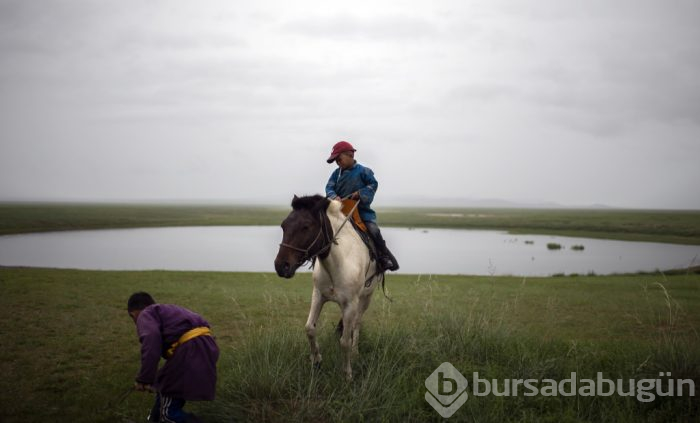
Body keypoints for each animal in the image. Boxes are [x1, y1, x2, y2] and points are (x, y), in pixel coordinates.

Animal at [274, 195, 382, 380]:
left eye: (306, 226)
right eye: (283, 225)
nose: (281, 266)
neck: (337, 263)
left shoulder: (350, 304)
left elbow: (345, 341)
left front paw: (347, 374)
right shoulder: (318, 296)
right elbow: (310, 328)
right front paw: (316, 360)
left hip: (365, 298)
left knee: (356, 324)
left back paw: (355, 353)